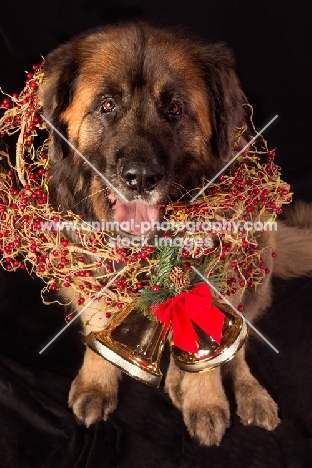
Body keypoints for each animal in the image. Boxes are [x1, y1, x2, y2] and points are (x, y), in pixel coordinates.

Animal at [39, 22, 312, 446]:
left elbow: (211, 349)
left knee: (238, 349)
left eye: (175, 109)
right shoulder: (89, 271)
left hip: (256, 267)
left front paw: (205, 401)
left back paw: (244, 393)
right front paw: (97, 382)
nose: (140, 178)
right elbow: (100, 323)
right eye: (107, 105)